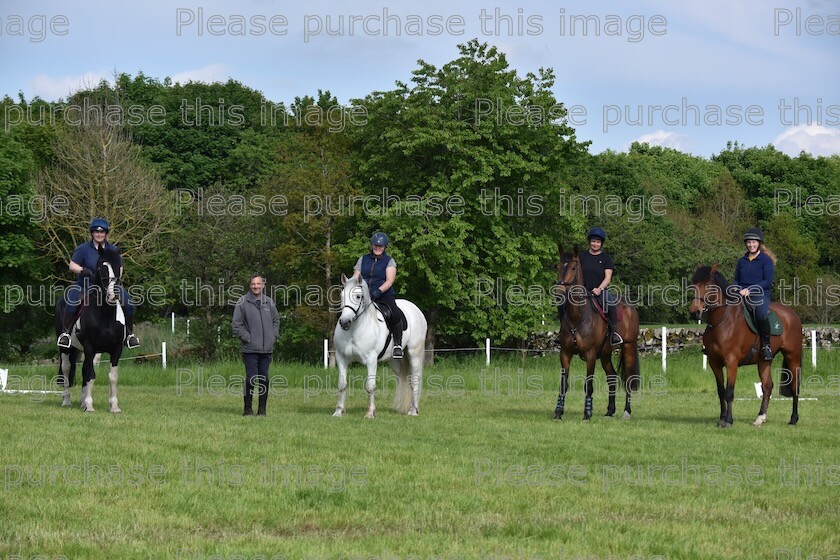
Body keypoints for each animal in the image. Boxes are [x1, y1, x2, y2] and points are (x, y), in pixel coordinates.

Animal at [55, 245, 126, 412]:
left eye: (117, 267)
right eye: (101, 266)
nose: (113, 295)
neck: (105, 315)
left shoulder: (116, 349)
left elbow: (112, 377)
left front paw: (114, 407)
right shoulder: (89, 347)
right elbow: (90, 374)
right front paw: (89, 405)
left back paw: (81, 402)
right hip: (65, 348)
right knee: (67, 368)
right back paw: (67, 401)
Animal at [334, 274, 426, 418]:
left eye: (358, 296)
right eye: (341, 296)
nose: (344, 322)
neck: (354, 330)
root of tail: (415, 309)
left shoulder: (371, 360)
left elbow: (370, 386)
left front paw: (370, 413)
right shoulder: (341, 359)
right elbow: (342, 384)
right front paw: (339, 411)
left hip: (414, 353)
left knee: (415, 380)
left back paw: (413, 410)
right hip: (395, 362)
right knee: (403, 379)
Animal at [556, 246, 640, 420]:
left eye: (573, 268)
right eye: (558, 266)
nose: (559, 291)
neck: (578, 317)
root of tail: (630, 306)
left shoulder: (590, 355)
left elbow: (588, 385)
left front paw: (587, 413)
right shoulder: (565, 354)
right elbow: (563, 384)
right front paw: (558, 412)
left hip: (628, 347)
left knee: (629, 379)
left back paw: (626, 411)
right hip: (606, 354)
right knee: (612, 377)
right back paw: (610, 411)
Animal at [692, 264, 804, 426]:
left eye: (708, 286)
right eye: (693, 284)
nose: (694, 312)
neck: (722, 321)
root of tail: (793, 314)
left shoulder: (731, 362)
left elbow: (729, 392)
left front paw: (728, 421)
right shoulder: (714, 363)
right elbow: (721, 391)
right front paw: (721, 419)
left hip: (792, 356)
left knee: (795, 386)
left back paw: (793, 419)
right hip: (764, 361)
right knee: (767, 386)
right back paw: (760, 418)